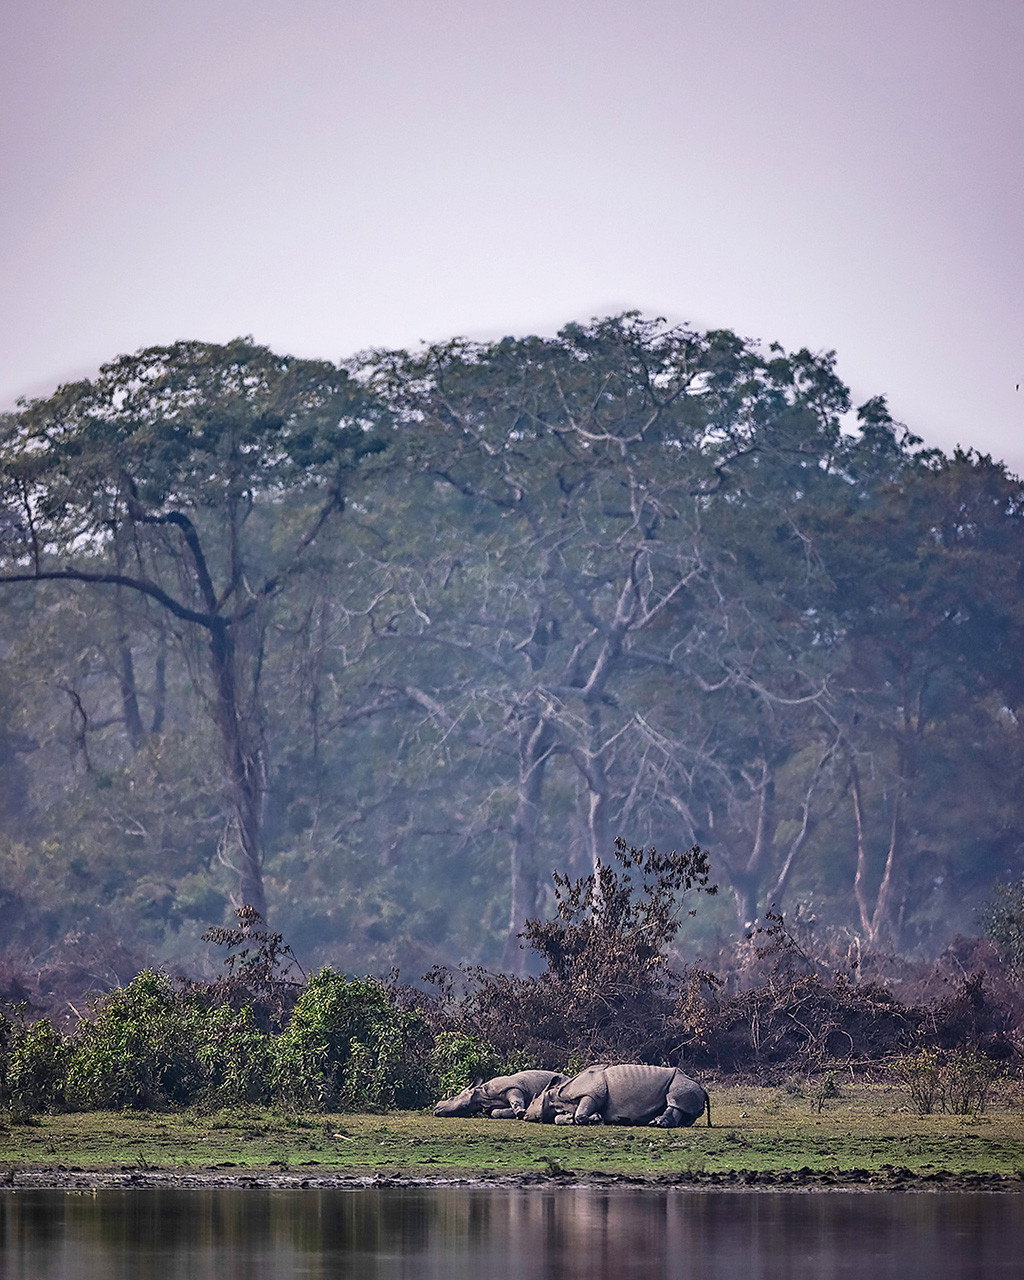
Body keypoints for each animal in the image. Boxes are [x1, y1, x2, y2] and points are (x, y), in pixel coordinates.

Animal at [433, 1069, 567, 1119]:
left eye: (451, 1098)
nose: (436, 1109)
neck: (481, 1097)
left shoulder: (514, 1087)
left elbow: (516, 1100)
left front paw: (520, 1112)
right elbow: (494, 1112)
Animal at [523, 1063, 710, 1127]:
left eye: (532, 1103)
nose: (524, 1116)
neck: (557, 1097)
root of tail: (703, 1088)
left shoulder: (592, 1094)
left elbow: (581, 1114)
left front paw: (597, 1119)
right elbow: (563, 1117)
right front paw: (569, 1119)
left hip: (682, 1084)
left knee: (675, 1100)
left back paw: (656, 1124)